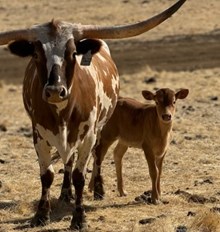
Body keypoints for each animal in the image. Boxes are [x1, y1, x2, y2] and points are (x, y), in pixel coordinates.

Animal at [0, 0, 186, 230]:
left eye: (73, 53)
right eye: (35, 54)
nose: (55, 91)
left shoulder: (88, 135)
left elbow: (80, 175)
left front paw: (79, 218)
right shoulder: (38, 135)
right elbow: (47, 175)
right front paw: (41, 215)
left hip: (99, 129)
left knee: (98, 156)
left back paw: (98, 189)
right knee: (69, 160)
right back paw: (65, 194)